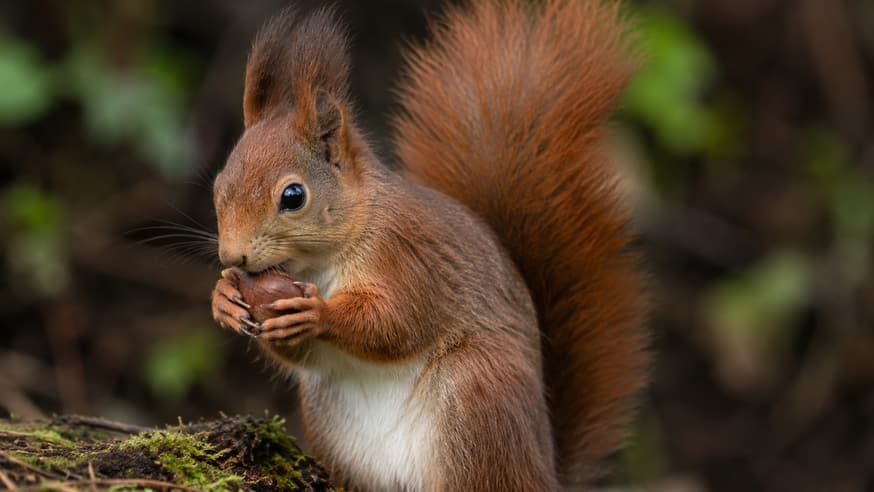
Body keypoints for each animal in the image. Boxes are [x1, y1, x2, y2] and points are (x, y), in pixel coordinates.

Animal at [210, 0, 648, 490]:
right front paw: (223, 297)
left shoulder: (409, 256)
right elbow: (302, 354)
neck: (324, 261)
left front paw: (317, 313)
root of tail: (543, 469)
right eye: (218, 185)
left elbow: (397, 322)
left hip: (478, 392)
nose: (232, 256)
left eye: (293, 196)